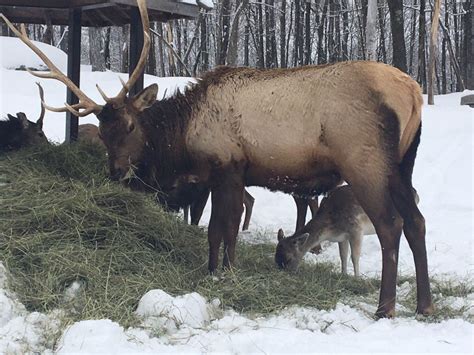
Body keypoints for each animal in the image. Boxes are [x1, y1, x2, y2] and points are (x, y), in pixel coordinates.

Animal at [276, 186, 420, 278]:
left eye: (288, 258)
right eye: (275, 257)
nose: (283, 273)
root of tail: (416, 194)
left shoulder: (356, 230)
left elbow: (354, 256)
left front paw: (357, 278)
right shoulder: (342, 237)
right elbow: (343, 255)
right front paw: (343, 274)